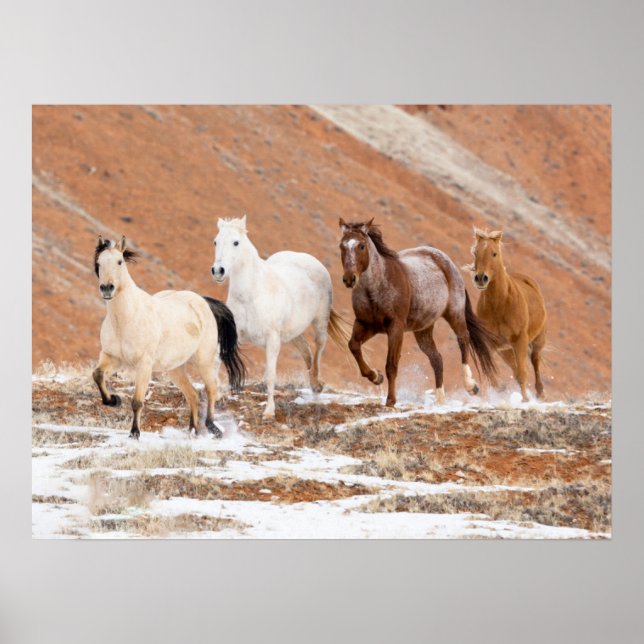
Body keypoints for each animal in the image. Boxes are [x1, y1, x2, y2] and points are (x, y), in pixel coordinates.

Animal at [92, 235, 245, 439]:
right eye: (99, 263)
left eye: (120, 261)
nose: (107, 288)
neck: (126, 319)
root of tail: (203, 302)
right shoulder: (111, 357)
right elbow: (97, 375)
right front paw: (113, 400)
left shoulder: (144, 365)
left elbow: (137, 401)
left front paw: (134, 433)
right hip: (175, 368)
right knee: (193, 395)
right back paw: (193, 431)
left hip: (204, 361)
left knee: (211, 389)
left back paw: (212, 427)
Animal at [211, 215, 351, 419]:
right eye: (216, 241)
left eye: (236, 242)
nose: (218, 271)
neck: (252, 294)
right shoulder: (234, 335)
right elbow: (215, 363)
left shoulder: (272, 339)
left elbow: (270, 376)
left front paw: (269, 412)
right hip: (294, 333)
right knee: (306, 352)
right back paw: (313, 383)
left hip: (319, 323)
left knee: (318, 348)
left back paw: (317, 385)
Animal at [339, 218, 498, 407]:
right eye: (342, 246)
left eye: (361, 246)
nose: (349, 279)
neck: (376, 288)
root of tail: (445, 260)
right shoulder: (365, 324)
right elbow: (353, 346)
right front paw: (376, 377)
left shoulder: (395, 328)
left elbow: (391, 365)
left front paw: (390, 401)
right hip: (423, 330)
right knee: (437, 359)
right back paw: (440, 401)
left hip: (454, 313)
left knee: (463, 340)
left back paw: (471, 386)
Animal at [464, 228, 547, 401]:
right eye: (475, 252)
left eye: (494, 253)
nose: (480, 278)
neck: (500, 305)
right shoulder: (491, 344)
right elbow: (497, 375)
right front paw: (502, 390)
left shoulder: (520, 340)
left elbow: (522, 373)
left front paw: (525, 400)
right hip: (506, 350)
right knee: (515, 369)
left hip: (537, 340)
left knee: (535, 361)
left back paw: (540, 392)